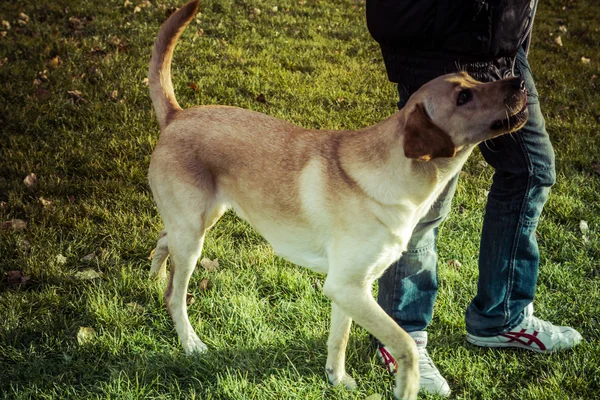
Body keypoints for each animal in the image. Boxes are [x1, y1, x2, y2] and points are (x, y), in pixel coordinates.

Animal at [148, 1, 528, 398]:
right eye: (463, 98)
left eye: (473, 80)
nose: (518, 82)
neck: (403, 180)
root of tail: (177, 115)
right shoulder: (347, 286)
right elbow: (406, 344)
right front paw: (407, 386)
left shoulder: (353, 288)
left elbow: (339, 337)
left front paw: (336, 378)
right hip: (193, 234)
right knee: (175, 294)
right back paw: (190, 342)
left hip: (201, 220)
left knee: (163, 242)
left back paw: (153, 277)